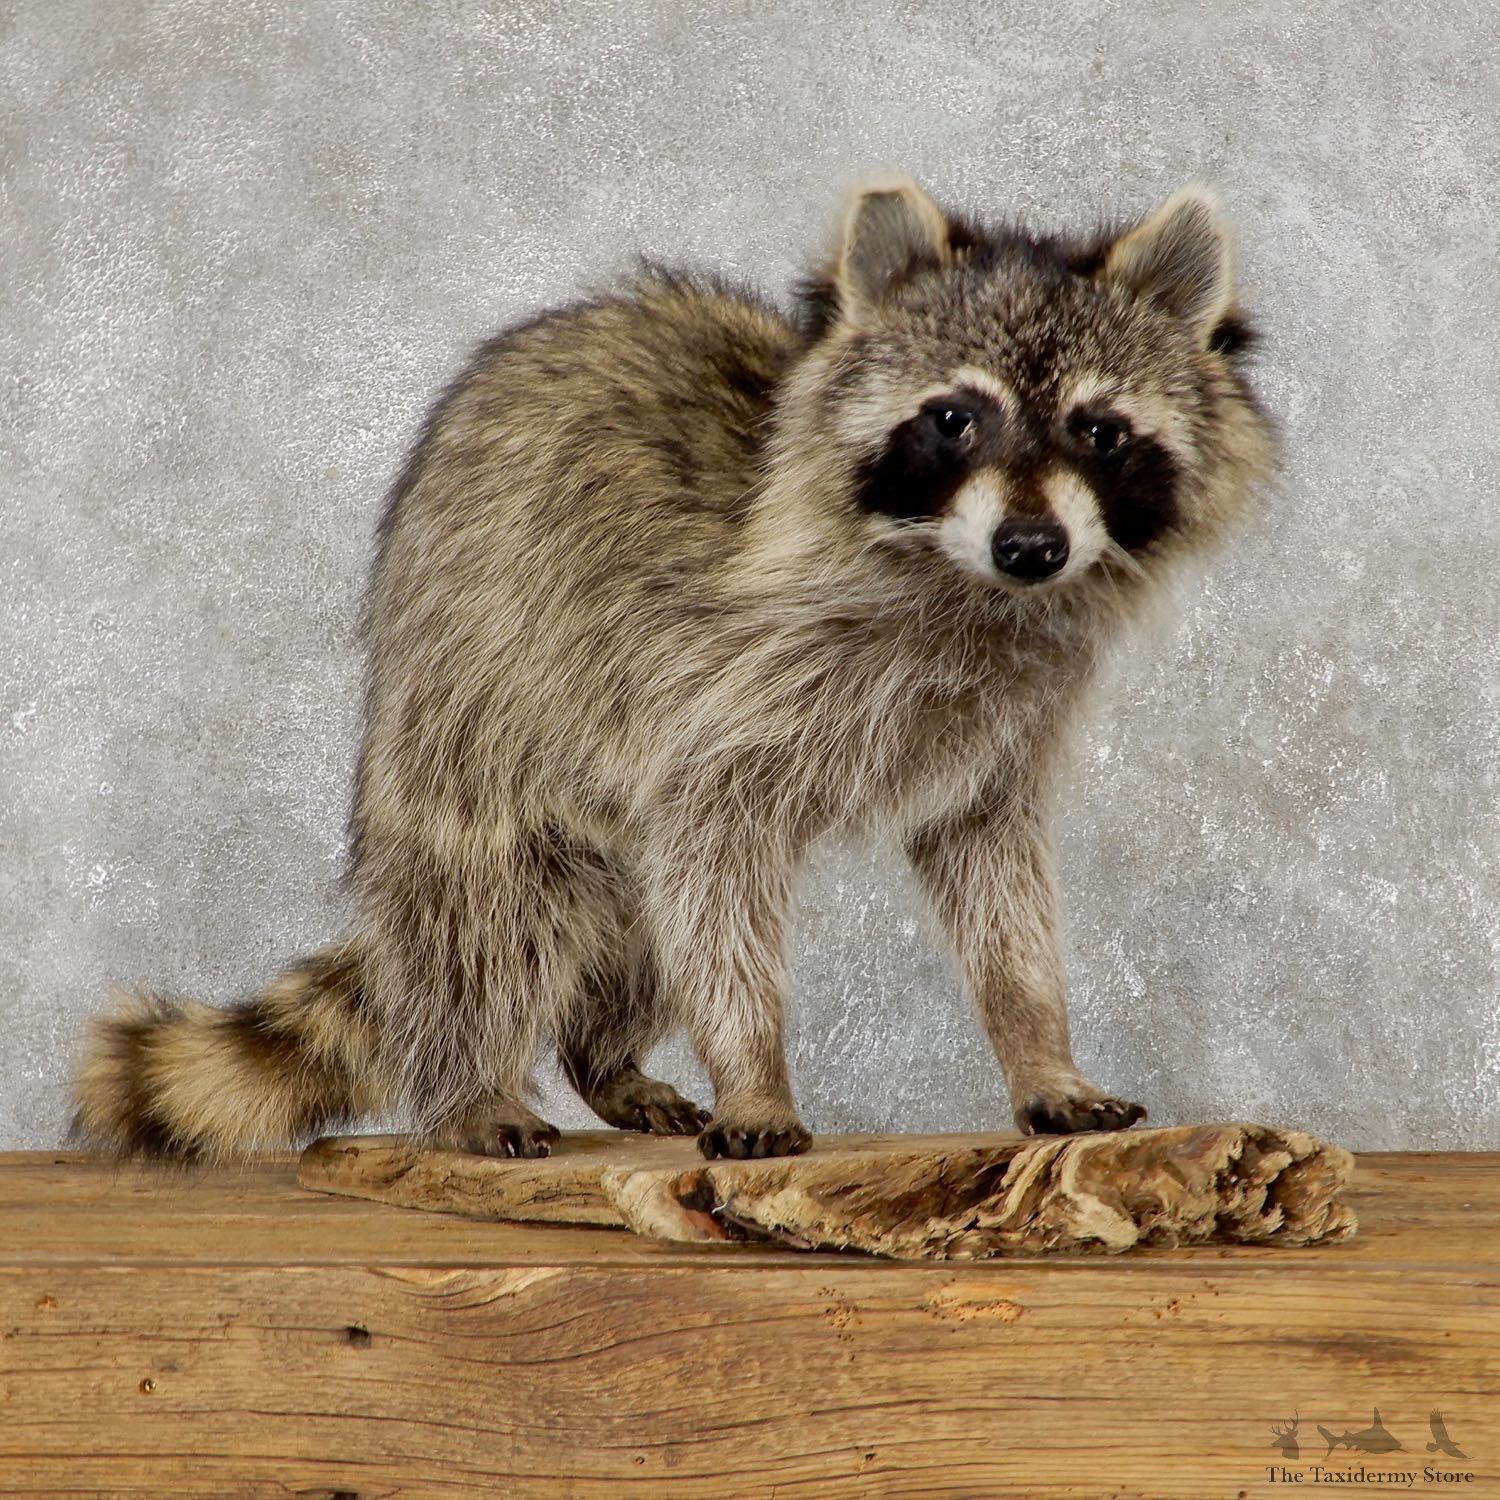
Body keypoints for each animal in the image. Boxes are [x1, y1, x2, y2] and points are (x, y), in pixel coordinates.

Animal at [73, 178, 1273, 1162]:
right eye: (952, 418)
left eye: (1100, 430)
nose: (1033, 547)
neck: (961, 579)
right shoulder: (722, 683)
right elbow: (715, 873)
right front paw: (752, 1071)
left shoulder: (1000, 729)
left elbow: (997, 881)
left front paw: (1039, 1046)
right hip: (473, 693)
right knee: (487, 907)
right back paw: (465, 1084)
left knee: (633, 924)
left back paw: (601, 1059)